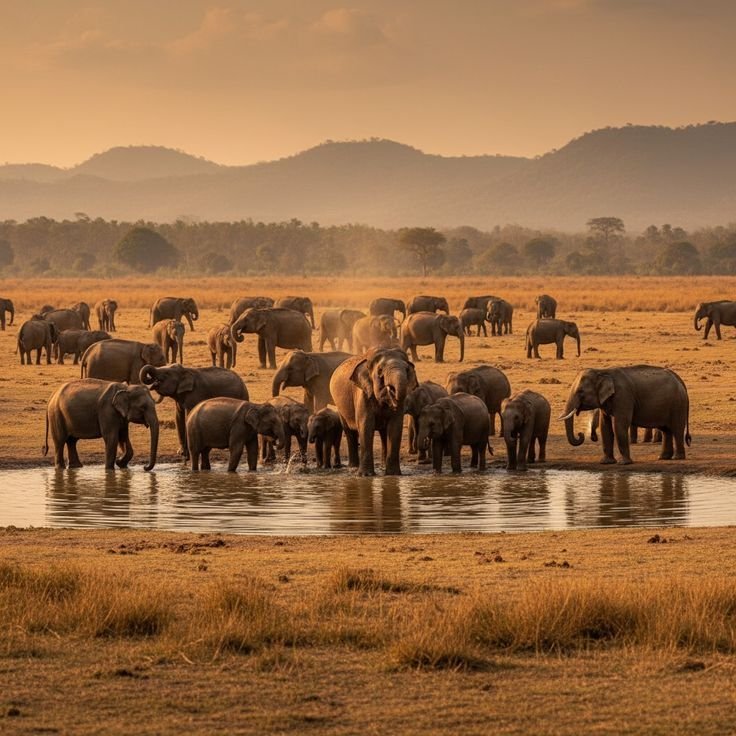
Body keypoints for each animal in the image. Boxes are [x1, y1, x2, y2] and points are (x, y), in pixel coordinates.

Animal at [330, 347, 418, 476]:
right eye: (380, 371)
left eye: (407, 370)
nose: (390, 388)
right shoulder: (363, 393)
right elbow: (366, 425)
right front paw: (366, 475)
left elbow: (395, 426)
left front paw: (393, 474)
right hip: (340, 407)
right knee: (349, 432)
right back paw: (353, 467)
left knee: (383, 433)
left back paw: (382, 466)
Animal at [560, 365, 691, 464]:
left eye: (580, 392)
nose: (580, 434)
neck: (602, 371)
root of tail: (680, 380)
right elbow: (605, 427)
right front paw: (606, 462)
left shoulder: (623, 396)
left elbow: (619, 425)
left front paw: (624, 463)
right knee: (666, 431)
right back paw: (663, 458)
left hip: (678, 405)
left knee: (677, 430)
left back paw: (677, 458)